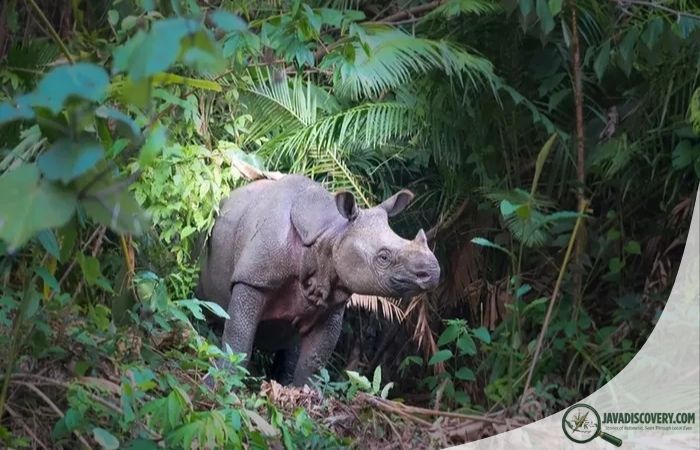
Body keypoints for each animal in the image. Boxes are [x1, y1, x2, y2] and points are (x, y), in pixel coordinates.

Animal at [196, 175, 440, 386]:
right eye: (383, 257)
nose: (433, 272)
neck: (331, 233)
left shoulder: (331, 303)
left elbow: (313, 362)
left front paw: (302, 395)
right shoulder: (253, 278)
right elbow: (238, 340)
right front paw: (220, 383)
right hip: (206, 234)